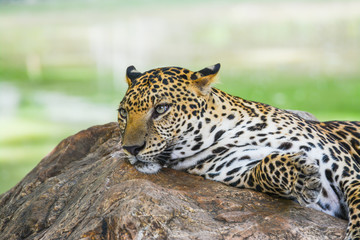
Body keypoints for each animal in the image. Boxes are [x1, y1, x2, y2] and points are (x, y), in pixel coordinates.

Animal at [117, 62, 360, 239]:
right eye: (123, 113)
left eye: (161, 109)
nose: (130, 148)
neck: (225, 132)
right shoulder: (236, 168)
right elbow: (267, 166)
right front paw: (301, 175)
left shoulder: (346, 169)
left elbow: (358, 202)